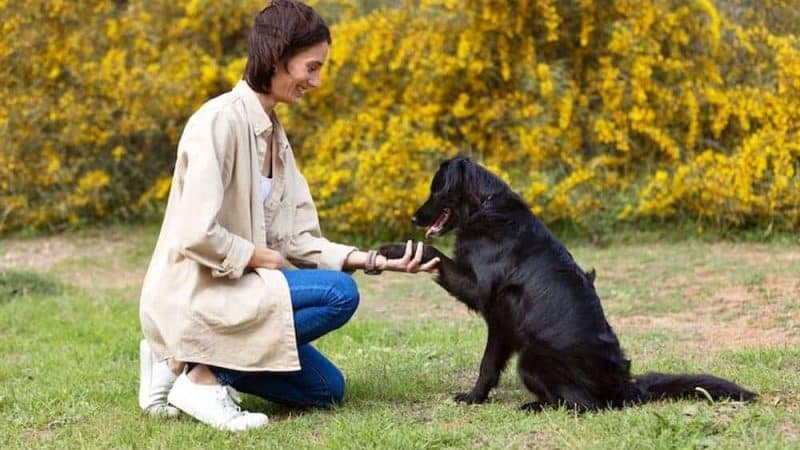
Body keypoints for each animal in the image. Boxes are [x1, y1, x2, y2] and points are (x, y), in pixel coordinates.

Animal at [382, 156, 756, 412]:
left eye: (436, 190)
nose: (414, 218)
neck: (484, 209)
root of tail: (625, 388)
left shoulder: (479, 291)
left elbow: (434, 253)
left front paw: (393, 250)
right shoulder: (501, 324)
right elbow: (488, 366)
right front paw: (475, 397)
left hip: (531, 358)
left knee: (581, 404)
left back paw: (534, 406)